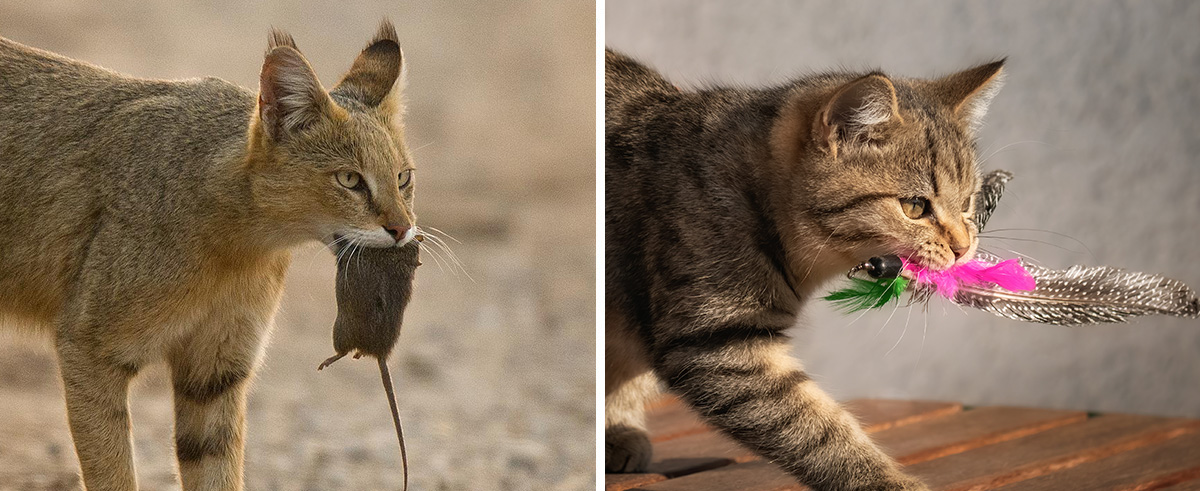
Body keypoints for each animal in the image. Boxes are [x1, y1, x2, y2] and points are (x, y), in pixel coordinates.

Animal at [0, 21, 420, 487]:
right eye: (349, 179)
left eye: (403, 178)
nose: (402, 229)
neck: (243, 246)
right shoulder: (90, 348)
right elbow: (114, 473)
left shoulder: (216, 370)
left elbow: (215, 469)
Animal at [604, 49, 1008, 489]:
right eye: (914, 206)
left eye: (967, 202)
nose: (963, 248)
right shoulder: (717, 340)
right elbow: (816, 428)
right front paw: (885, 480)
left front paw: (617, 429)